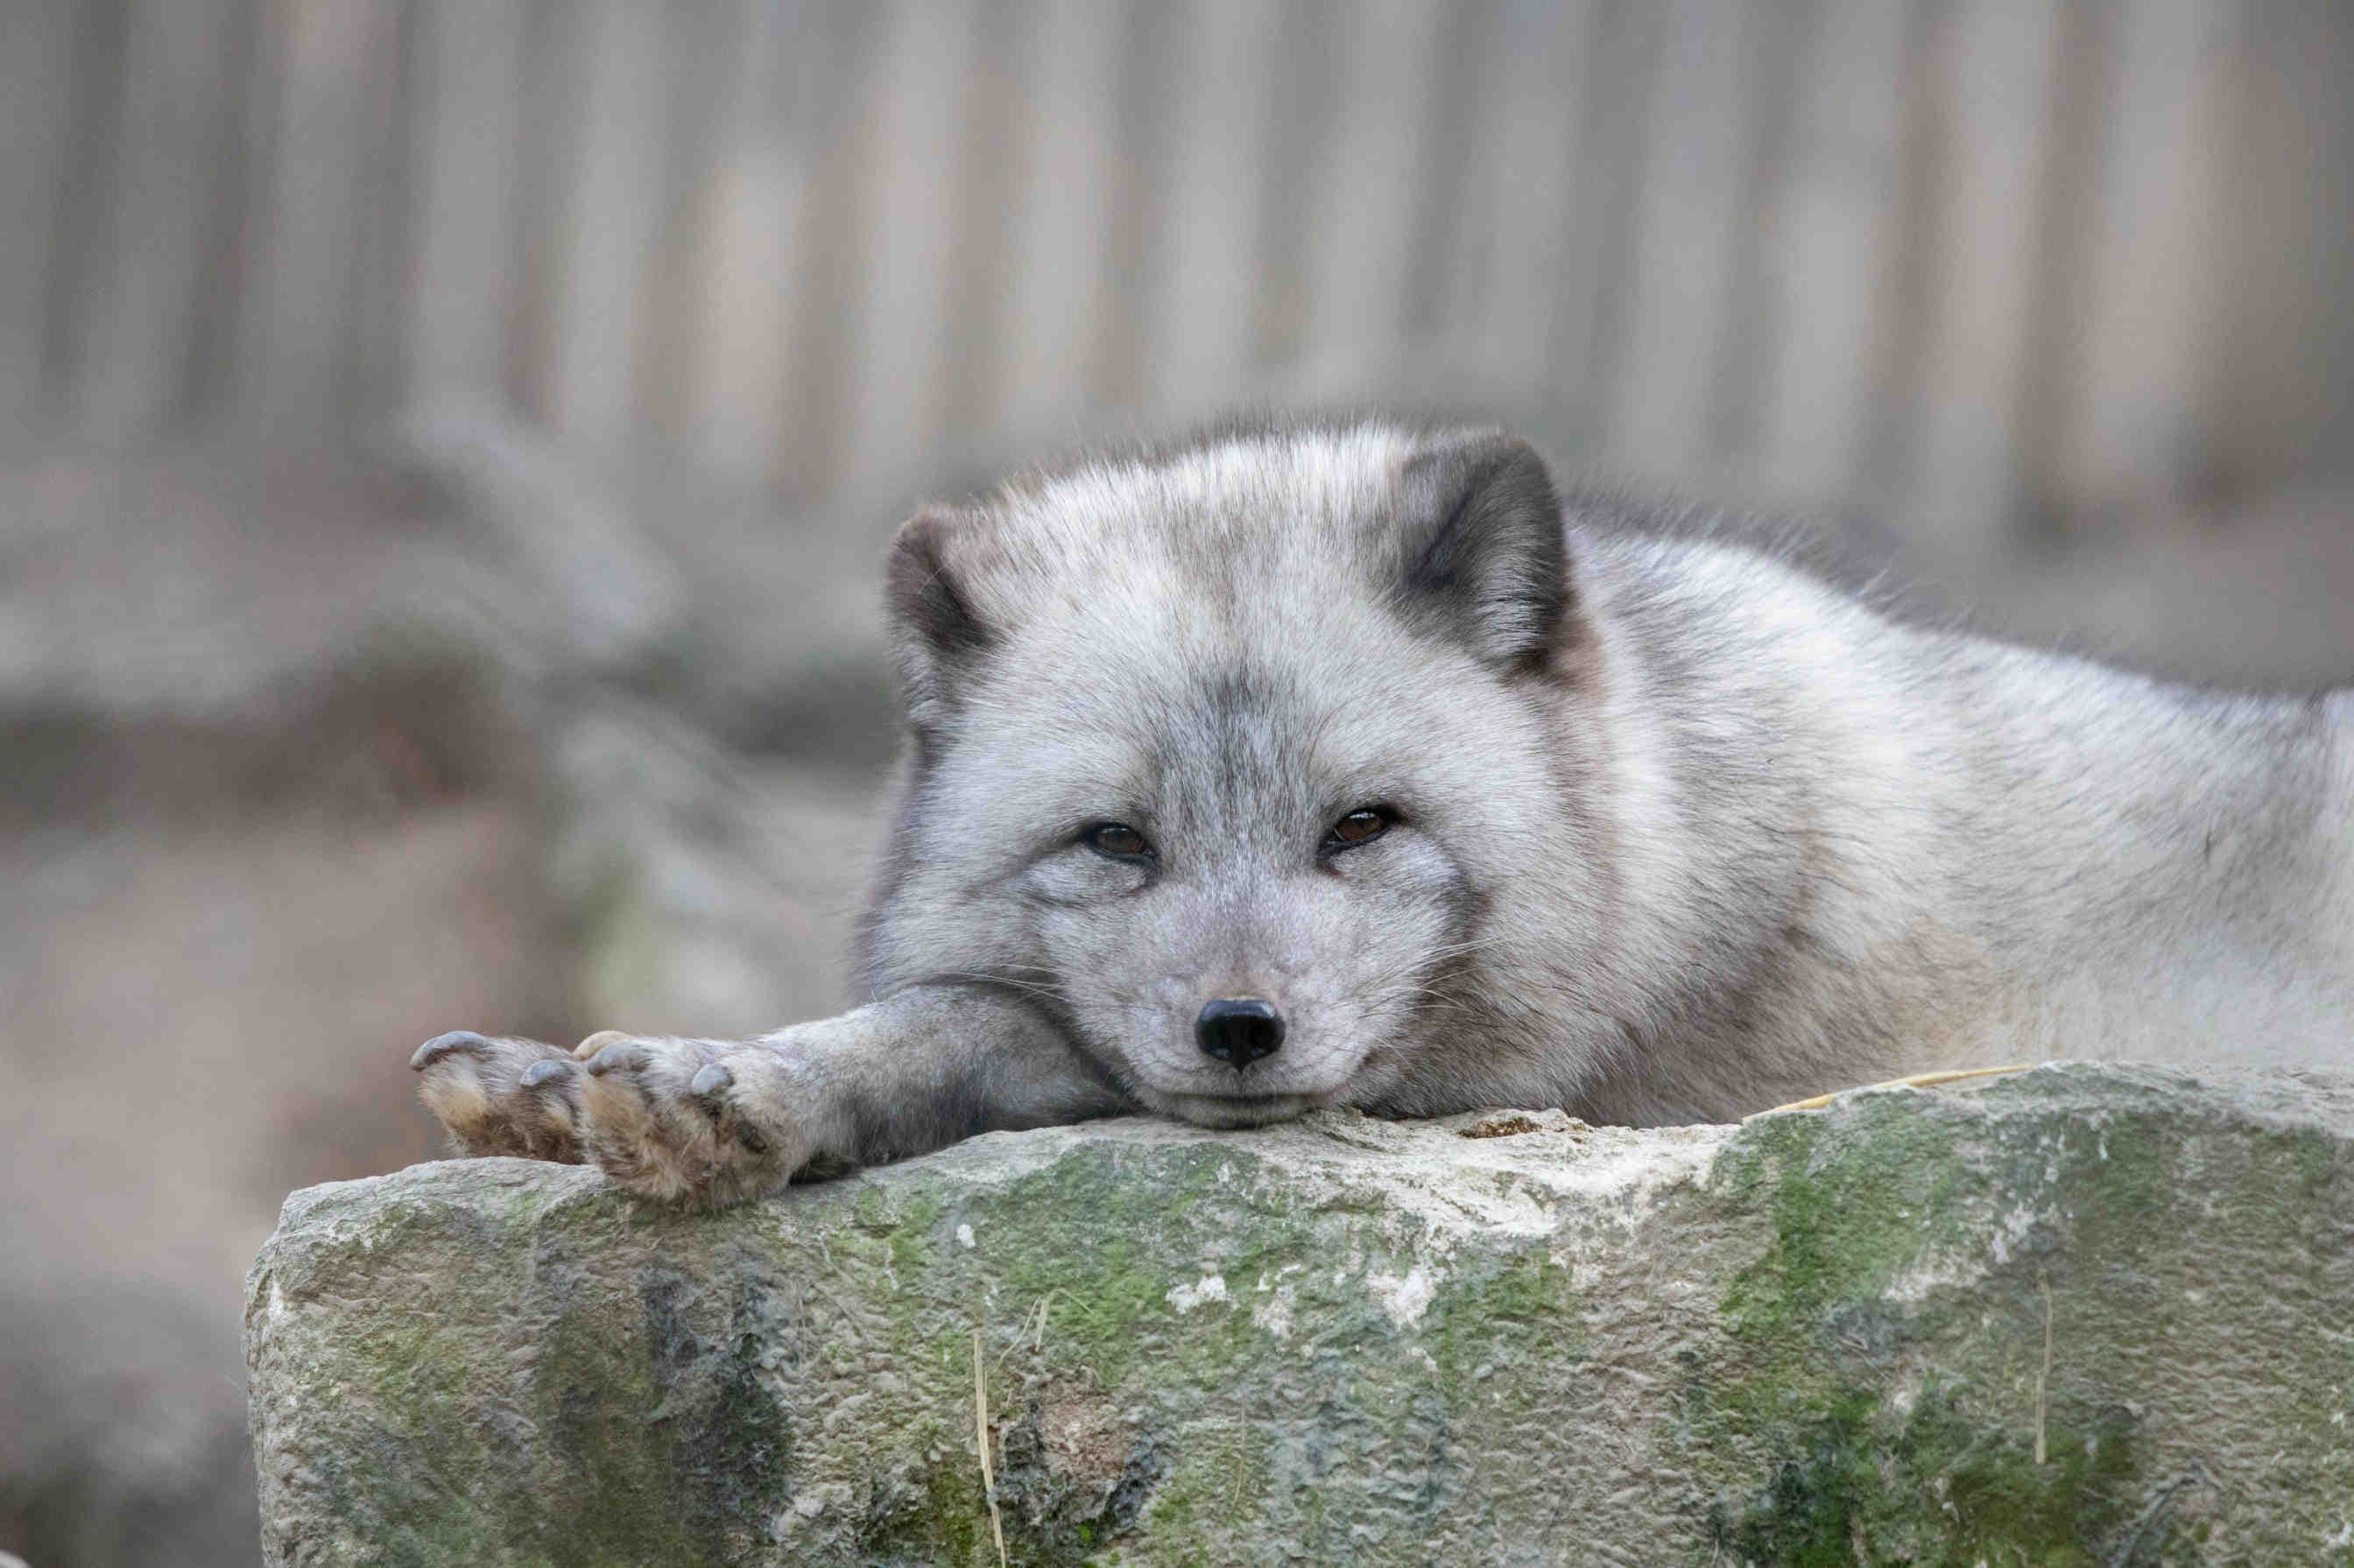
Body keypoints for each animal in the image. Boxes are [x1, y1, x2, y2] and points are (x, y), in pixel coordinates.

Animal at [410, 420, 2354, 1206]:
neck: (1681, 797)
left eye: (1360, 827)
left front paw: (744, 1082)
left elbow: (970, 1023)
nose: (1240, 1030)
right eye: (1113, 841)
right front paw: (547, 1089)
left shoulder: (1545, 1087)